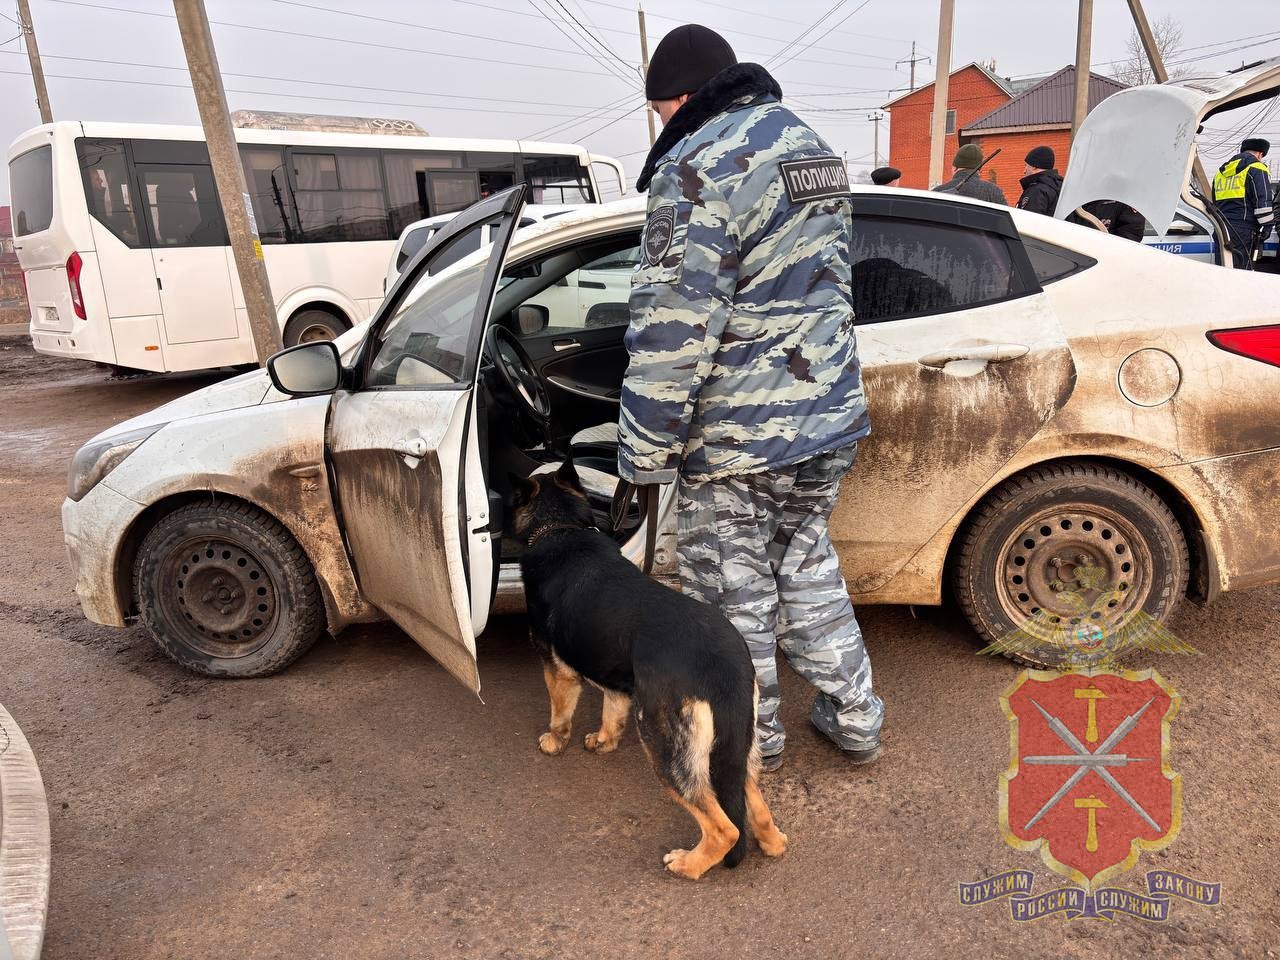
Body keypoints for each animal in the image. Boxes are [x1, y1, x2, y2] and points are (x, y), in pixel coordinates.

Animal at [512, 463, 788, 885]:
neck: (561, 527)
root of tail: (723, 668)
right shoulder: (616, 682)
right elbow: (611, 712)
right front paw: (603, 741)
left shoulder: (556, 669)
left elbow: (560, 713)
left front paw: (554, 742)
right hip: (734, 746)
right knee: (752, 799)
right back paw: (771, 841)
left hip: (665, 747)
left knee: (724, 828)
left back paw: (689, 864)